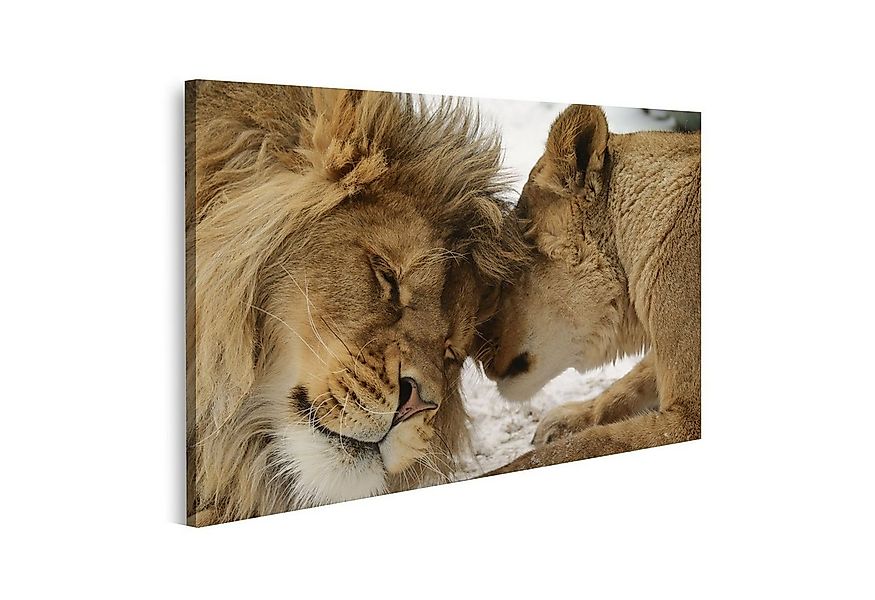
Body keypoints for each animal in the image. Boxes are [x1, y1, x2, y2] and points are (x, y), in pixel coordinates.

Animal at [476, 104, 700, 474]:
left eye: (505, 272)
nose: (472, 353)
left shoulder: (688, 419)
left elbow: (584, 447)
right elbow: (628, 384)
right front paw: (567, 419)